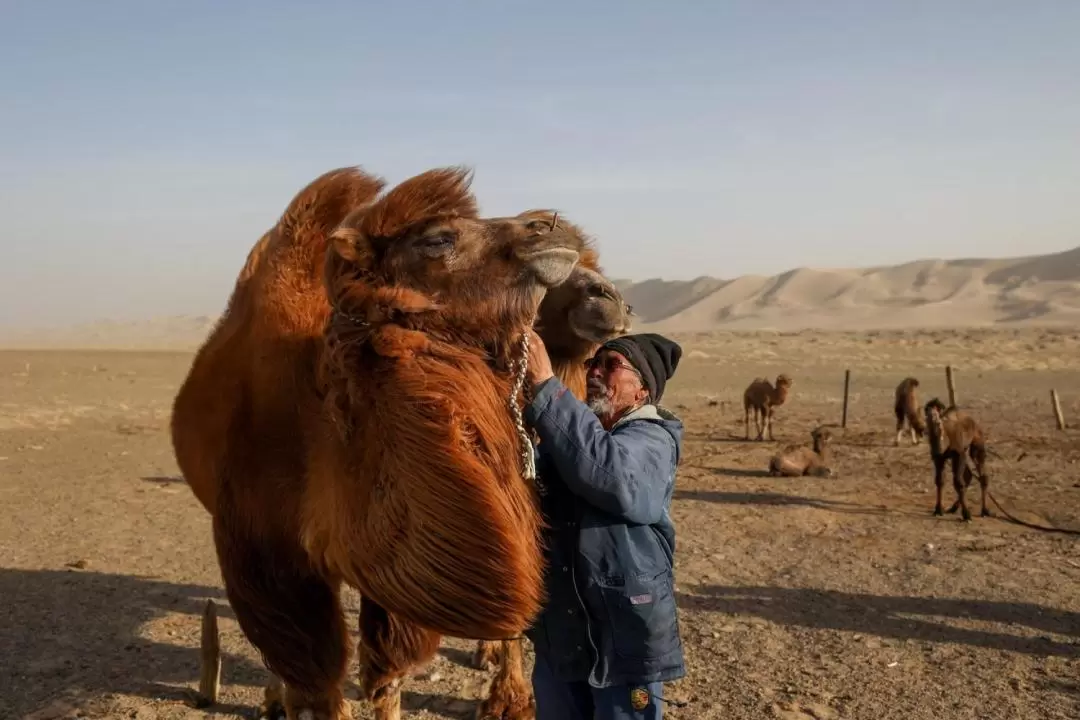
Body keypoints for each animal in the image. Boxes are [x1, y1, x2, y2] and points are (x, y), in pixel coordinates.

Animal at [168, 167, 626, 720]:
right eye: (437, 238)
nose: (546, 227)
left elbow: (390, 676)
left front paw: (508, 701)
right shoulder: (266, 554)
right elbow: (315, 680)